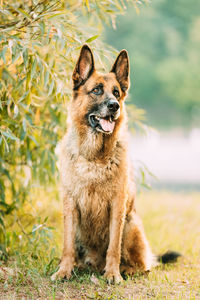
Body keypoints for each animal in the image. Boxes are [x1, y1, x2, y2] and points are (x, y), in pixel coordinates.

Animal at [50, 44, 180, 284]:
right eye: (96, 90)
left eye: (117, 92)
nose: (114, 106)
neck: (94, 157)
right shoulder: (70, 204)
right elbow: (67, 245)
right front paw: (64, 270)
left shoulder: (117, 206)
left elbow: (113, 247)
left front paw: (112, 274)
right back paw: (79, 266)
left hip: (131, 224)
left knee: (144, 265)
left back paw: (125, 269)